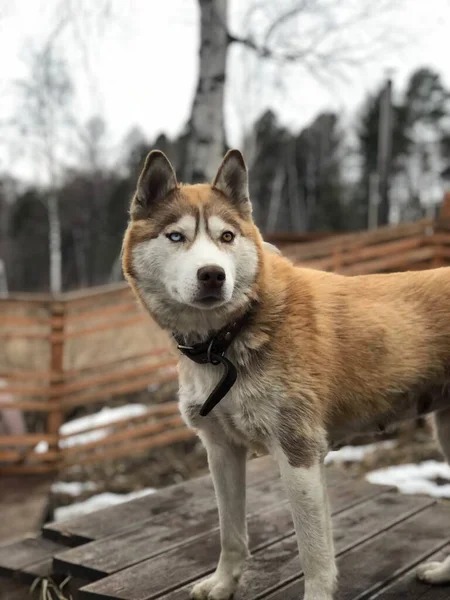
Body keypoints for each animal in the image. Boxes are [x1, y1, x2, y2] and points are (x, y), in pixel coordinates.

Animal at [121, 149, 450, 600]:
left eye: (227, 237)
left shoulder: (299, 454)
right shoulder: (221, 451)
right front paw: (223, 584)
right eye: (175, 237)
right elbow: (231, 533)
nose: (213, 275)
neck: (230, 336)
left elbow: (313, 554)